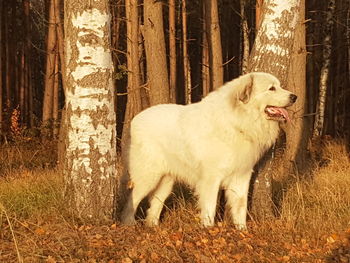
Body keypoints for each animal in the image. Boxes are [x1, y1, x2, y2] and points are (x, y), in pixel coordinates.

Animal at [121, 72, 296, 231]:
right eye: (271, 88)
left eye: (279, 86)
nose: (294, 97)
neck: (237, 122)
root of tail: (134, 120)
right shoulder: (211, 178)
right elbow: (210, 207)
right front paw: (208, 230)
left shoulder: (241, 176)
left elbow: (241, 206)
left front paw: (242, 231)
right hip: (148, 176)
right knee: (132, 199)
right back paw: (129, 224)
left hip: (166, 181)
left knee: (156, 203)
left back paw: (153, 227)